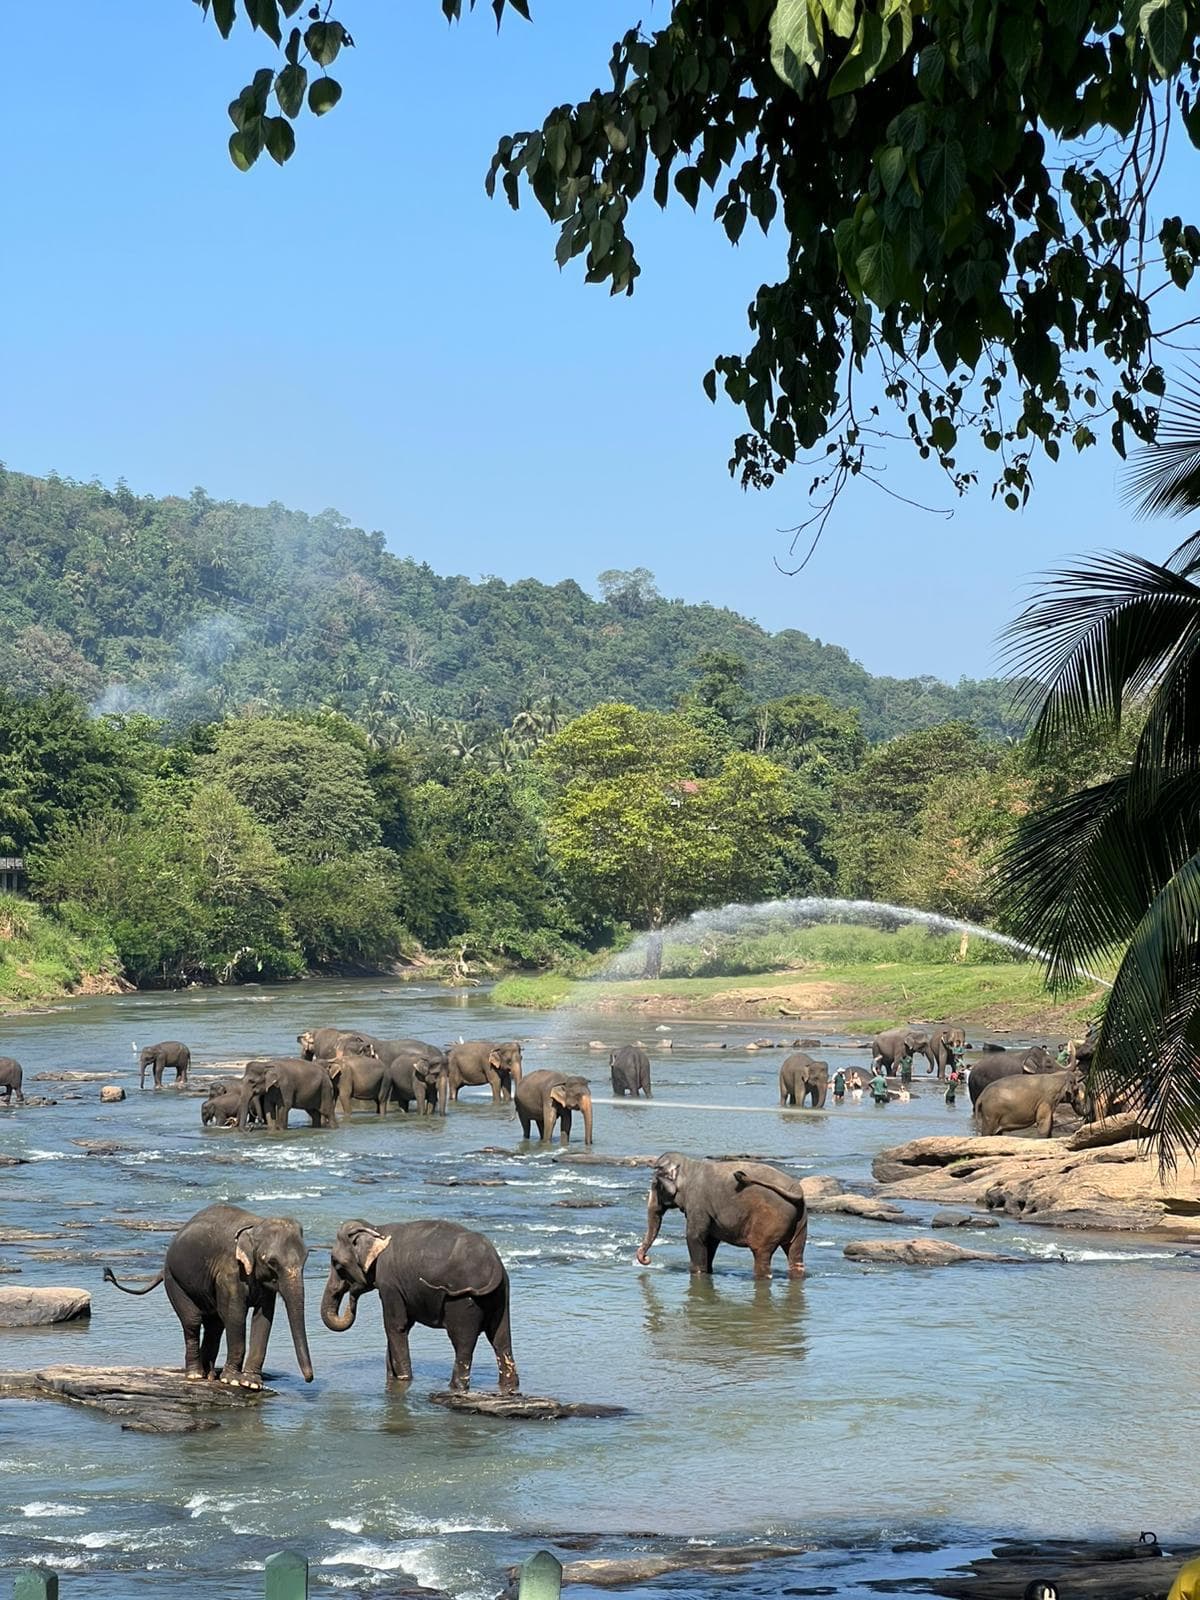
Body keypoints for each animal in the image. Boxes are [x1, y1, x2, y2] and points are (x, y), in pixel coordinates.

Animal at [103, 1202, 314, 1389]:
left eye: (305, 1259)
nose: (309, 1379)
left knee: (215, 1325)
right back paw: (196, 1375)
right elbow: (235, 1315)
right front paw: (233, 1381)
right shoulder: (229, 1273)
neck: (256, 1226)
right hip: (174, 1280)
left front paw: (251, 1384)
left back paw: (209, 1375)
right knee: (193, 1321)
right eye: (272, 1262)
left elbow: (263, 1318)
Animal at [320, 1218, 519, 1393]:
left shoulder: (389, 1283)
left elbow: (395, 1326)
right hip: (501, 1295)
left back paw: (455, 1387)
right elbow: (404, 1326)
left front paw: (404, 1379)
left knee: (463, 1344)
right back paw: (509, 1385)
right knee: (501, 1340)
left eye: (336, 1263)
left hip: (464, 1301)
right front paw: (393, 1378)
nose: (353, 1292)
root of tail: (494, 1265)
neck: (376, 1229)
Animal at [636, 1152, 809, 1278]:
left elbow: (694, 1237)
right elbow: (711, 1241)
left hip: (771, 1221)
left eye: (655, 1185)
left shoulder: (697, 1204)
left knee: (761, 1254)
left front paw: (697, 1273)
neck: (689, 1166)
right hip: (800, 1221)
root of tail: (798, 1191)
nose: (646, 1259)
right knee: (796, 1256)